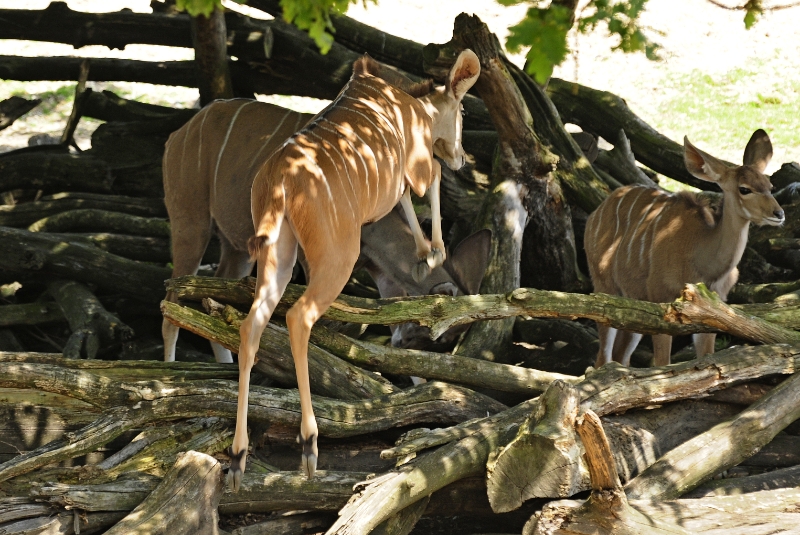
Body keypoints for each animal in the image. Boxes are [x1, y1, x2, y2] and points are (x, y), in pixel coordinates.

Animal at [228, 51, 482, 490]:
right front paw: (433, 252)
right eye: (463, 110)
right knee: (298, 317)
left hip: (278, 258)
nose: (462, 157)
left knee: (251, 326)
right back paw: (309, 446)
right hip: (336, 259)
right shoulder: (415, 168)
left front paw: (425, 251)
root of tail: (279, 181)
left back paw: (239, 458)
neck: (414, 108)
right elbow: (428, 180)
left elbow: (404, 200)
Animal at [584, 130, 784, 368]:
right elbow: (662, 364)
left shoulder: (713, 313)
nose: (779, 214)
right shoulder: (661, 305)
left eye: (770, 187)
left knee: (619, 356)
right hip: (605, 289)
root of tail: (595, 213)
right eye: (744, 189)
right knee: (602, 357)